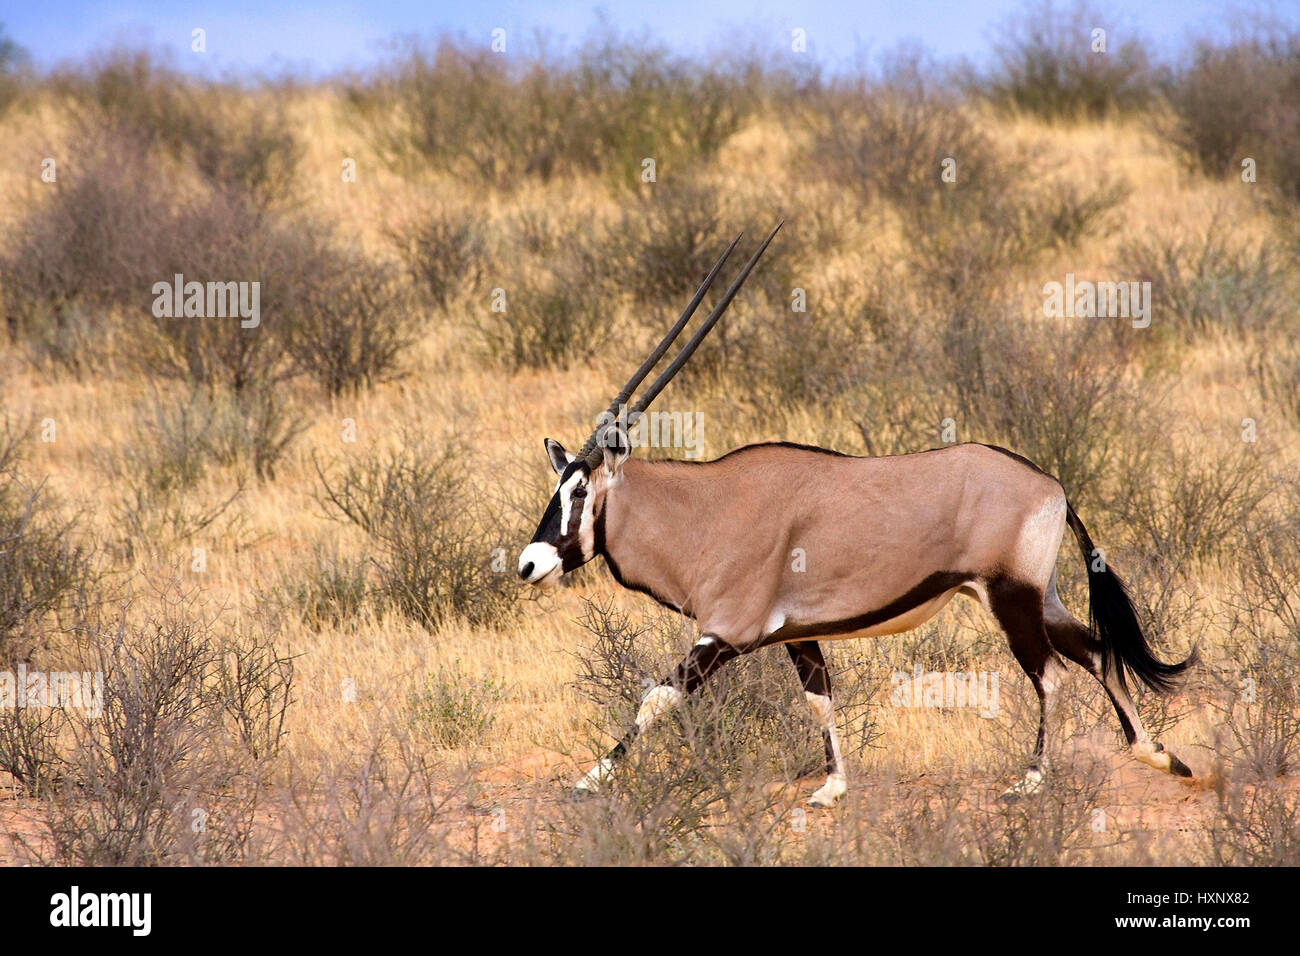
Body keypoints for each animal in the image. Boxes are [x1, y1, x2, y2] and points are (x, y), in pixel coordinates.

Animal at [520, 223, 1196, 806]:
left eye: (579, 492)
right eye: (558, 485)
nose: (528, 564)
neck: (702, 509)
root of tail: (1052, 485)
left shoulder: (725, 633)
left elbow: (657, 698)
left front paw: (588, 781)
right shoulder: (795, 633)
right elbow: (820, 698)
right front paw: (832, 788)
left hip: (1010, 598)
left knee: (1050, 674)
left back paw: (1032, 779)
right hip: (1036, 595)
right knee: (1096, 651)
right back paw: (1160, 756)